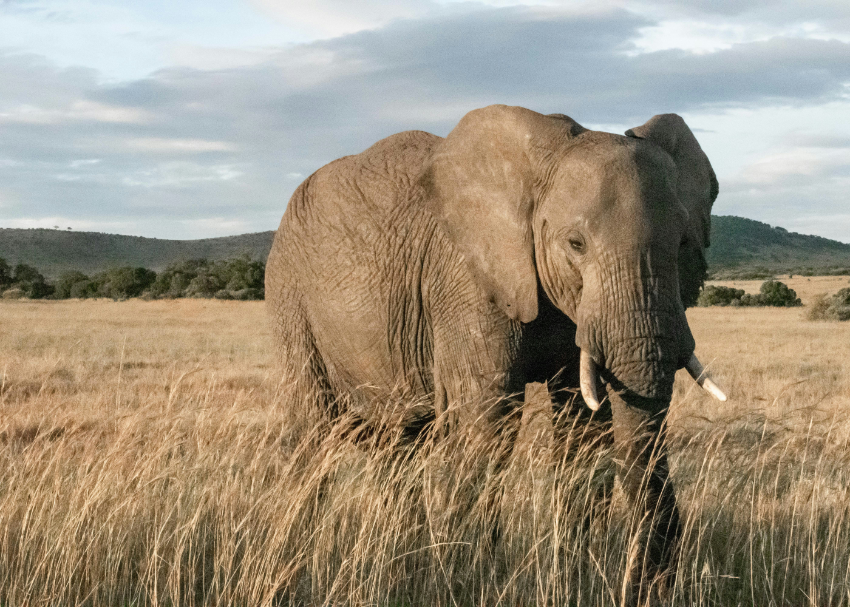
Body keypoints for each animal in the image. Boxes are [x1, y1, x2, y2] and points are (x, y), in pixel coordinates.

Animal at [266, 104, 726, 606]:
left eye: (684, 244)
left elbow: (584, 428)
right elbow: (486, 421)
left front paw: (572, 578)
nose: (654, 586)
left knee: (401, 447)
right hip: (290, 295)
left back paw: (401, 567)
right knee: (310, 435)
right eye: (576, 243)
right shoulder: (466, 280)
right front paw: (468, 584)